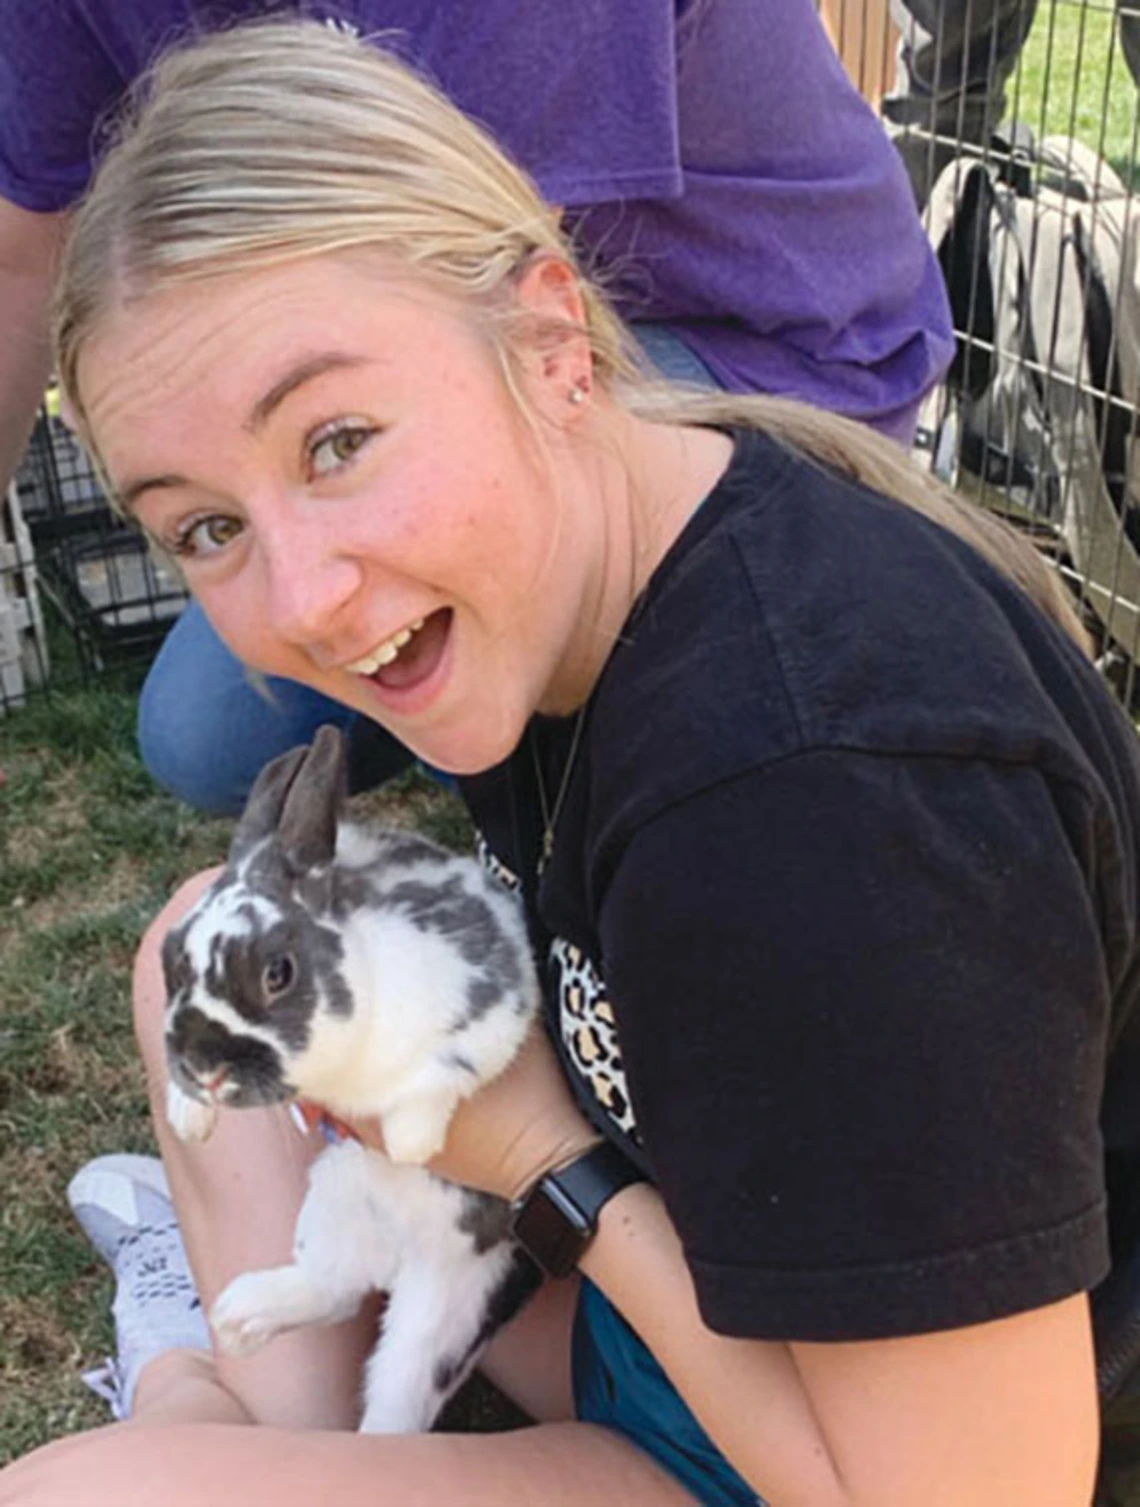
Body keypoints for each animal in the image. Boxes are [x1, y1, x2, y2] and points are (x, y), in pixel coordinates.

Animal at [159, 729, 542, 1434]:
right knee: (333, 1290)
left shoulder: (491, 1000)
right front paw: (188, 1116)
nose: (207, 1068)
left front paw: (414, 1142)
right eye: (170, 961)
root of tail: (398, 1257)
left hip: (452, 1303)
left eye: (278, 972)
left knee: (395, 1401)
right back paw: (240, 1318)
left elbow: (442, 1072)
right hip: (333, 1201)